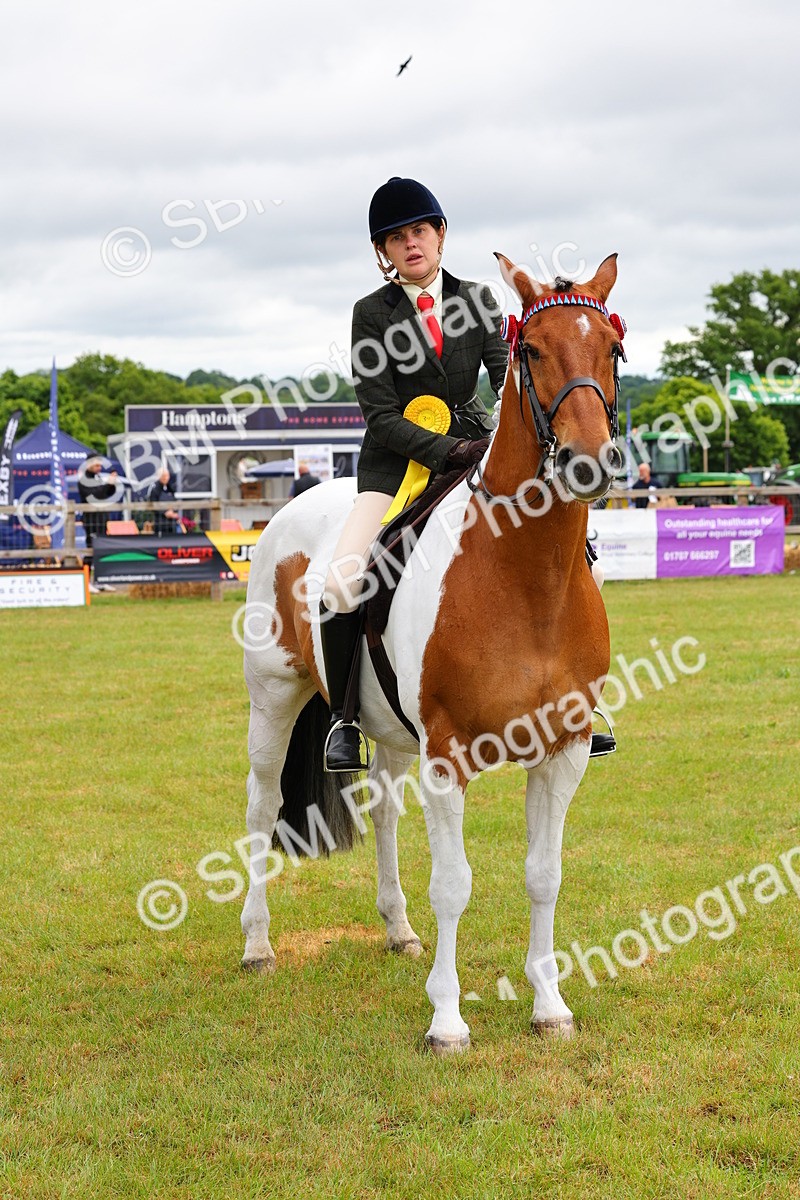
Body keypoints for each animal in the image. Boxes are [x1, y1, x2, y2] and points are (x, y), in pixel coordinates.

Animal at [240, 251, 625, 1052]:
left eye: (612, 349)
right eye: (530, 350)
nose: (586, 463)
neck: (524, 576)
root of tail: (292, 506)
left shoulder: (565, 750)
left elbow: (544, 875)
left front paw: (550, 1007)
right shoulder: (448, 755)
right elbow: (455, 883)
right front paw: (446, 1021)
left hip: (385, 728)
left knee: (384, 810)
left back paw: (399, 931)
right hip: (274, 698)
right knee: (262, 806)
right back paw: (257, 945)